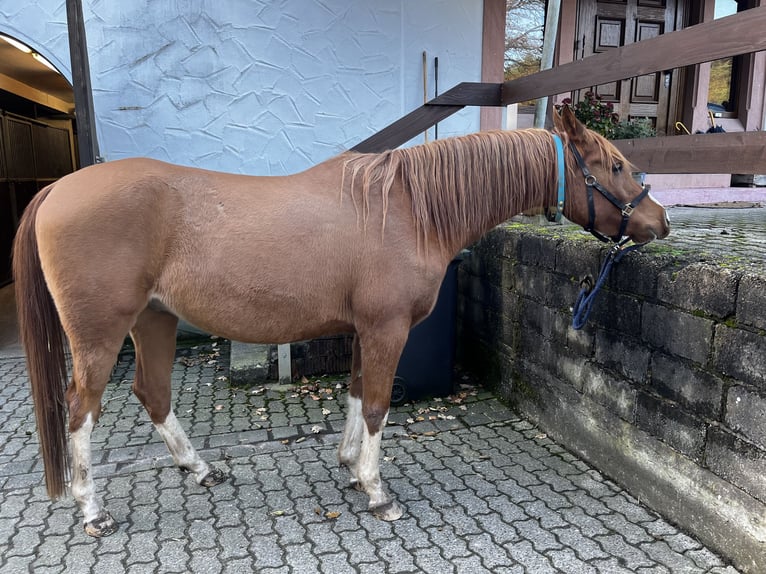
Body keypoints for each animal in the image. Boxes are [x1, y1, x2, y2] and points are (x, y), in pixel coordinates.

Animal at [13, 106, 672, 536]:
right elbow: (378, 405)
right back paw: (92, 509)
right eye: (616, 165)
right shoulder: (386, 329)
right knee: (80, 411)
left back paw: (199, 469)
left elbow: (356, 395)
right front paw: (379, 493)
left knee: (152, 393)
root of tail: (58, 191)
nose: (660, 222)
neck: (408, 209)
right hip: (100, 336)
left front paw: (351, 469)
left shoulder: (365, 331)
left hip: (155, 320)